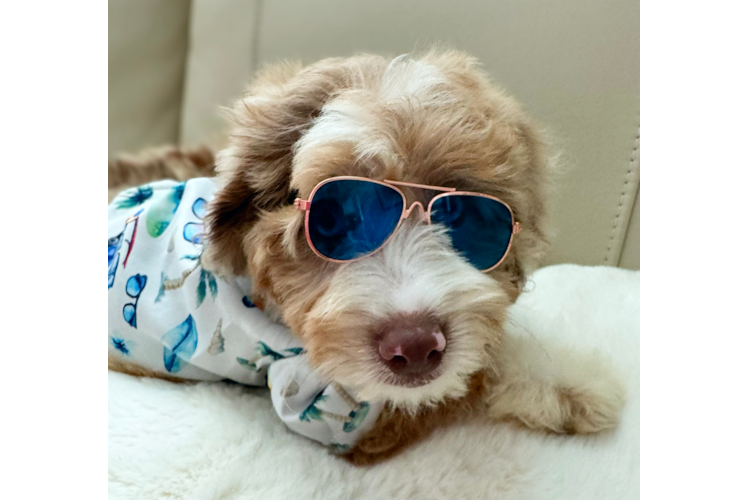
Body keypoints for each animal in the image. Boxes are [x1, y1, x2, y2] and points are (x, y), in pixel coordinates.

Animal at [109, 48, 624, 462]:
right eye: (331, 220)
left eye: (462, 212)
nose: (415, 345)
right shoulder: (332, 411)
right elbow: (467, 381)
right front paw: (573, 386)